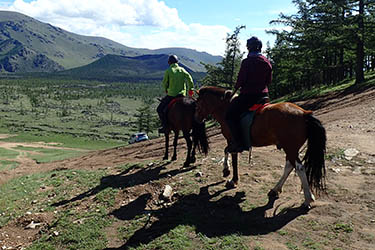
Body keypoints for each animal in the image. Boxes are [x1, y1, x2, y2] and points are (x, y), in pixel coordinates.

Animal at [195, 86, 328, 207]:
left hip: (290, 148)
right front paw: (231, 177)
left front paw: (228, 174)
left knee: (299, 168)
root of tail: (304, 114)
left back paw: (307, 199)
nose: (197, 118)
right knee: (289, 166)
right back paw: (275, 190)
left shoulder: (232, 141)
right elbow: (231, 155)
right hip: (291, 148)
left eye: (198, 102)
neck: (225, 107)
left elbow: (229, 153)